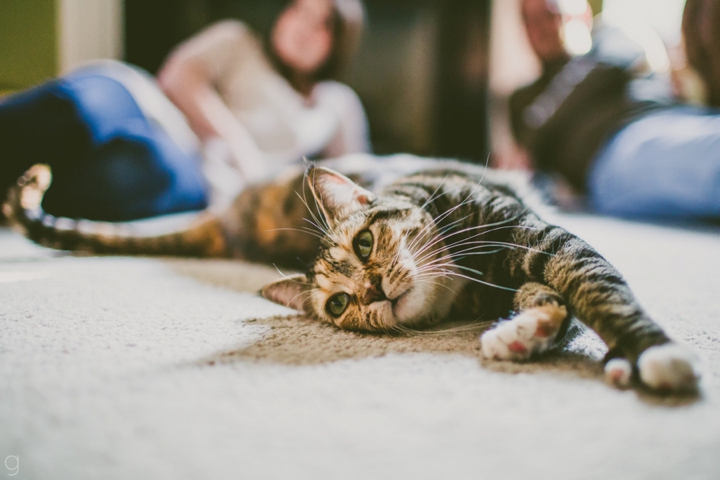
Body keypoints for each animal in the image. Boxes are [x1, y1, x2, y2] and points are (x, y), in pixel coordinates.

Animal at [4, 156, 704, 392]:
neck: (467, 283)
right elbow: (560, 300)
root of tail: (225, 217)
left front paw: (650, 353)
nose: (369, 290)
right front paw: (526, 334)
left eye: (365, 241)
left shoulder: (543, 239)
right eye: (339, 306)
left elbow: (596, 287)